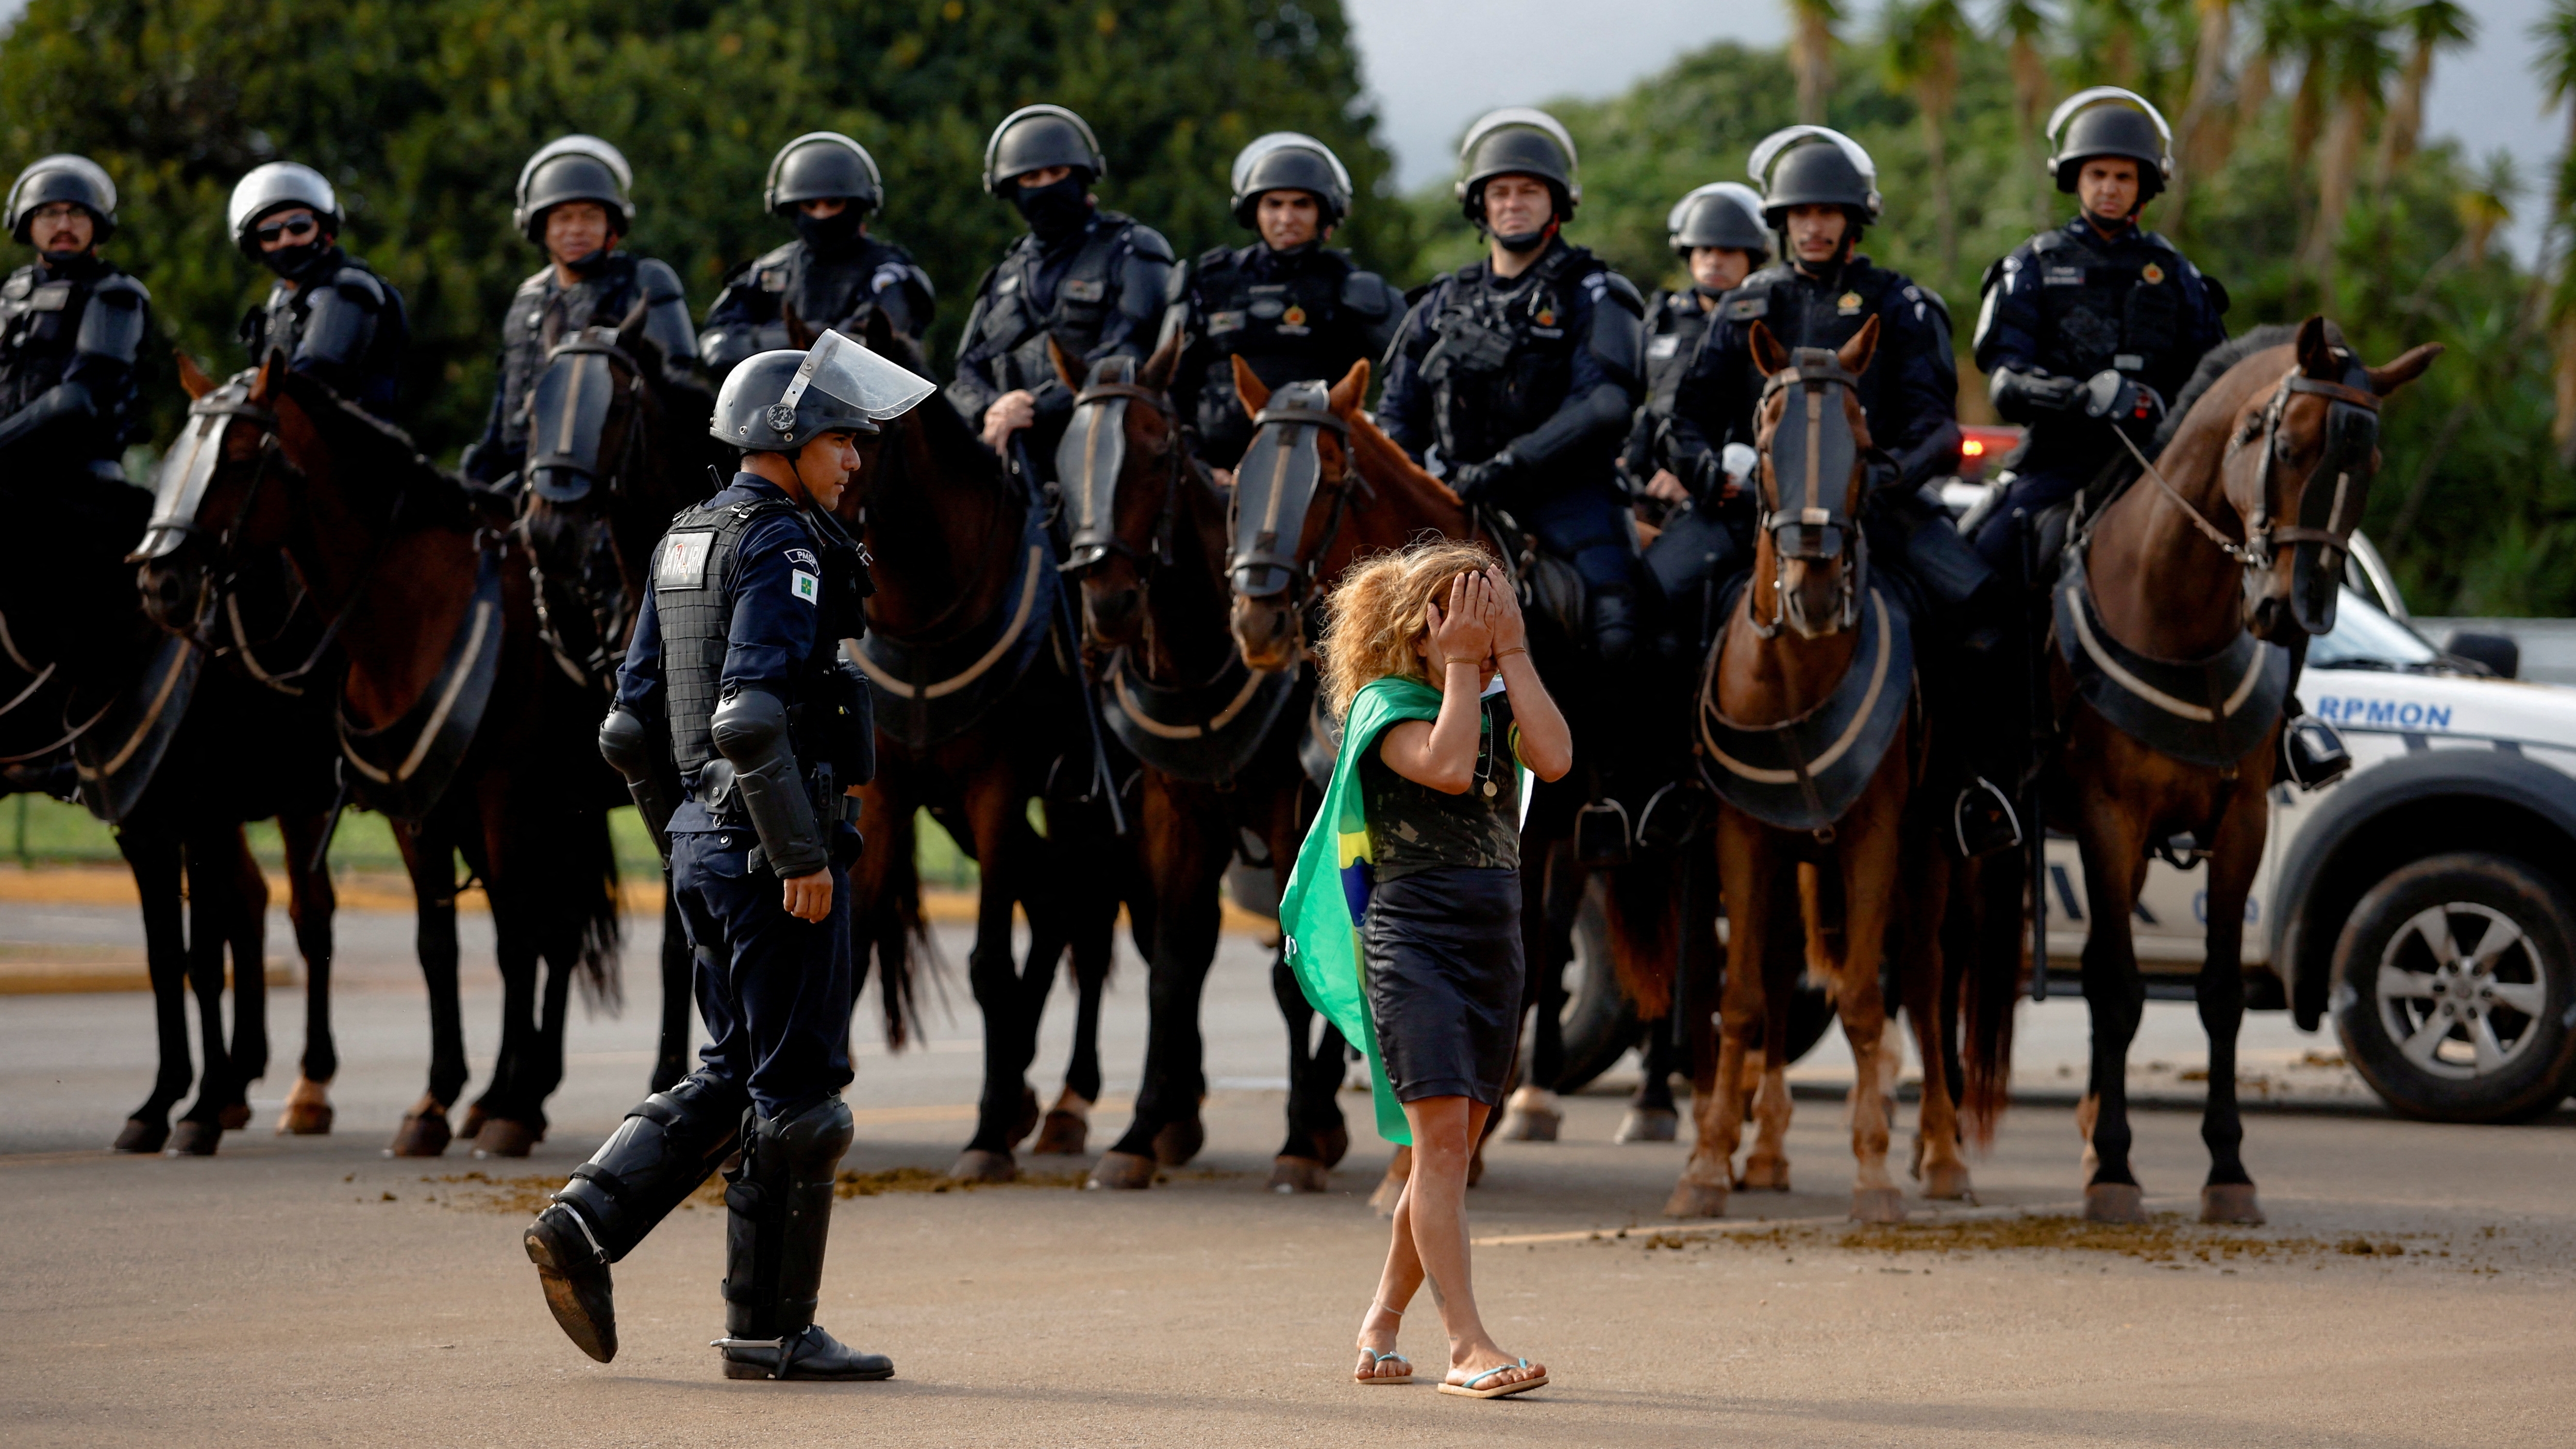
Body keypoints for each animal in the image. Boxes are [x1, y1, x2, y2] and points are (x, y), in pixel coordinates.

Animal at [136, 343, 623, 1155]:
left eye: (238, 458)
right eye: (176, 454)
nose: (159, 580)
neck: (416, 604)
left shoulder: (502, 796)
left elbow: (515, 942)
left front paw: (504, 1104)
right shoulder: (417, 809)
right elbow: (438, 944)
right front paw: (438, 1100)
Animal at [840, 313, 1113, 1175]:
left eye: (865, 422)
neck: (926, 613)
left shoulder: (999, 785)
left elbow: (990, 960)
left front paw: (988, 1133)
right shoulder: (887, 793)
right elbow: (857, 940)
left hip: (1087, 804)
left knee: (1088, 922)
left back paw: (1064, 1099)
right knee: (1055, 900)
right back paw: (1025, 1081)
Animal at [1051, 335, 1349, 1186]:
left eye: (1157, 453)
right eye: (1064, 457)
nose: (1109, 601)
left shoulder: (1289, 812)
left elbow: (1289, 973)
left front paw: (1300, 1134)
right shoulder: (1173, 813)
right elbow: (1172, 964)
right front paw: (1139, 1129)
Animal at [1659, 318, 1999, 1217]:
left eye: (1866, 445)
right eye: (1764, 443)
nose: (1811, 589)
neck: (1794, 674)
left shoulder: (1873, 836)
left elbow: (1865, 1001)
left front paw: (1874, 1170)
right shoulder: (1744, 838)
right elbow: (1742, 997)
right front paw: (1705, 1164)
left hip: (1926, 851)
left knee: (1921, 979)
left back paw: (1942, 1154)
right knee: (1781, 972)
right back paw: (1768, 1151)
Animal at [2030, 318, 2432, 1217]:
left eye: (2370, 466)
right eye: (2284, 444)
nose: (2294, 611)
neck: (2177, 617)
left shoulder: (2239, 823)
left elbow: (2217, 994)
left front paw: (2226, 1168)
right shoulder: (2108, 819)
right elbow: (2117, 985)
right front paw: (2115, 1169)